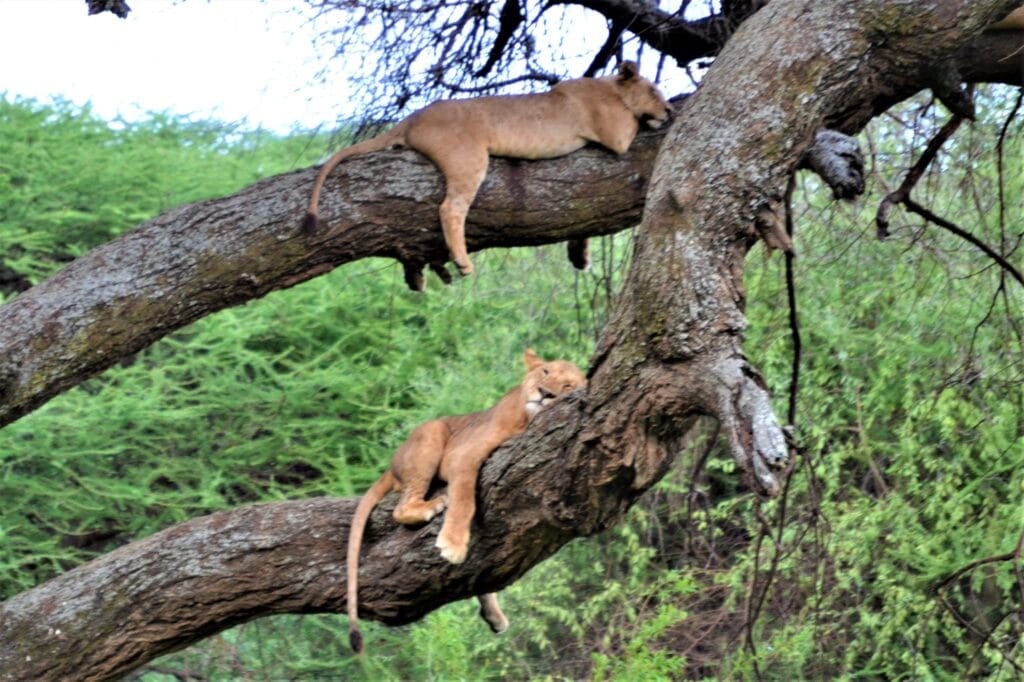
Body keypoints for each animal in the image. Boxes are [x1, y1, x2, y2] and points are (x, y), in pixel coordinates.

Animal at [303, 61, 671, 286]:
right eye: (654, 90)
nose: (668, 110)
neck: (611, 88)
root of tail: (414, 117)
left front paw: (580, 255)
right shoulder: (616, 135)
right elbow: (633, 126)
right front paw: (663, 117)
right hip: (469, 159)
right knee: (450, 209)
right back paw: (462, 262)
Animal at [344, 348, 585, 651]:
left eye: (568, 387)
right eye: (545, 372)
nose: (545, 393)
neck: (526, 419)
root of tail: (391, 464)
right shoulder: (462, 455)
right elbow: (464, 499)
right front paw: (454, 545)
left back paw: (493, 613)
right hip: (433, 431)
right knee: (401, 508)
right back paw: (432, 506)